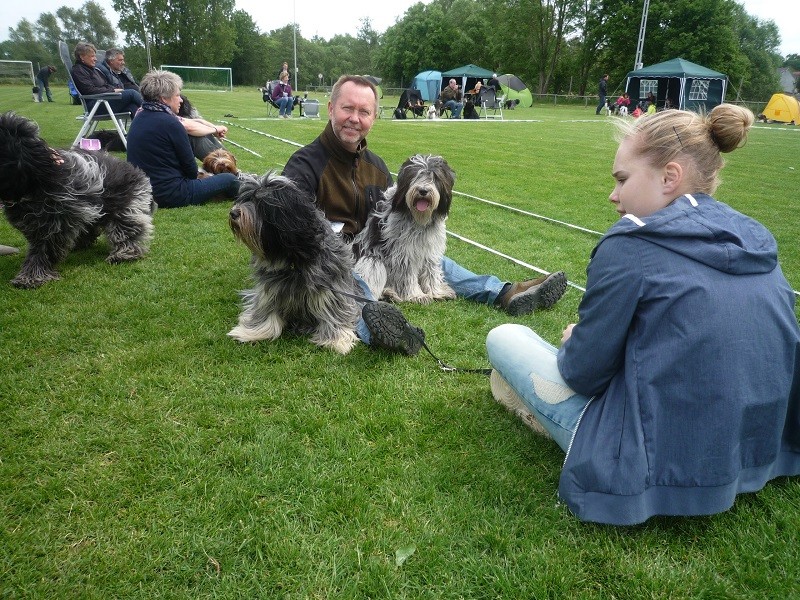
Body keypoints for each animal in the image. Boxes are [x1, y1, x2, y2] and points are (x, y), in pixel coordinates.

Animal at [0, 114, 155, 290]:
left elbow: (42, 250)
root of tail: (135, 170)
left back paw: (124, 254)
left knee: (127, 230)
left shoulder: (54, 223)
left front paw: (31, 276)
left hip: (126, 206)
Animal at [227, 171, 360, 354]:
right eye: (244, 198)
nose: (233, 213)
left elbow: (334, 309)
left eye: (260, 203)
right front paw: (253, 332)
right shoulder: (271, 287)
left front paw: (337, 339)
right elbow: (266, 310)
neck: (292, 260)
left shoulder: (331, 285)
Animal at [354, 155, 460, 304]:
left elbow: (431, 270)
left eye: (434, 177)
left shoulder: (431, 248)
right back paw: (388, 293)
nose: (423, 191)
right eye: (415, 176)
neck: (419, 220)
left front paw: (436, 292)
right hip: (372, 261)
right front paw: (416, 295)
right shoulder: (404, 251)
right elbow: (407, 274)